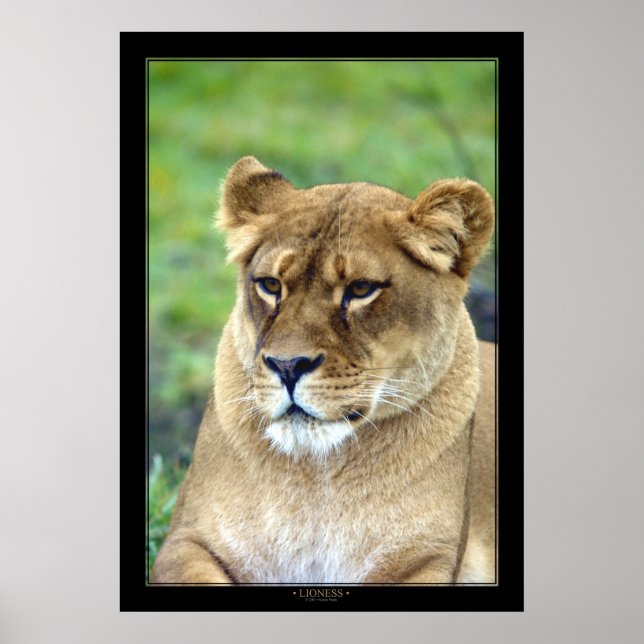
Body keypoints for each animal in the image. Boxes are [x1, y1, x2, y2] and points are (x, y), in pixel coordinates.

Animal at [151, 156, 496, 585]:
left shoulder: (426, 560)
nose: (287, 366)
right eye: (270, 285)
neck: (318, 480)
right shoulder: (185, 542)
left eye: (361, 289)